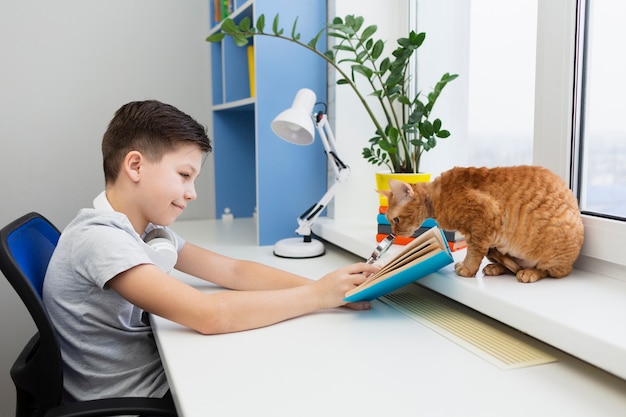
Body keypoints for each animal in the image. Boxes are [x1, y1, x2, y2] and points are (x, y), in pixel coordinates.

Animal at [378, 166, 584, 282]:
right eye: (391, 222)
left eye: (396, 220)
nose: (395, 233)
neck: (438, 197)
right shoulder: (478, 234)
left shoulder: (482, 221)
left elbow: (473, 252)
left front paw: (467, 269)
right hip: (496, 247)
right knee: (510, 266)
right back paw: (495, 268)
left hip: (551, 254)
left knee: (549, 271)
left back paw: (529, 273)